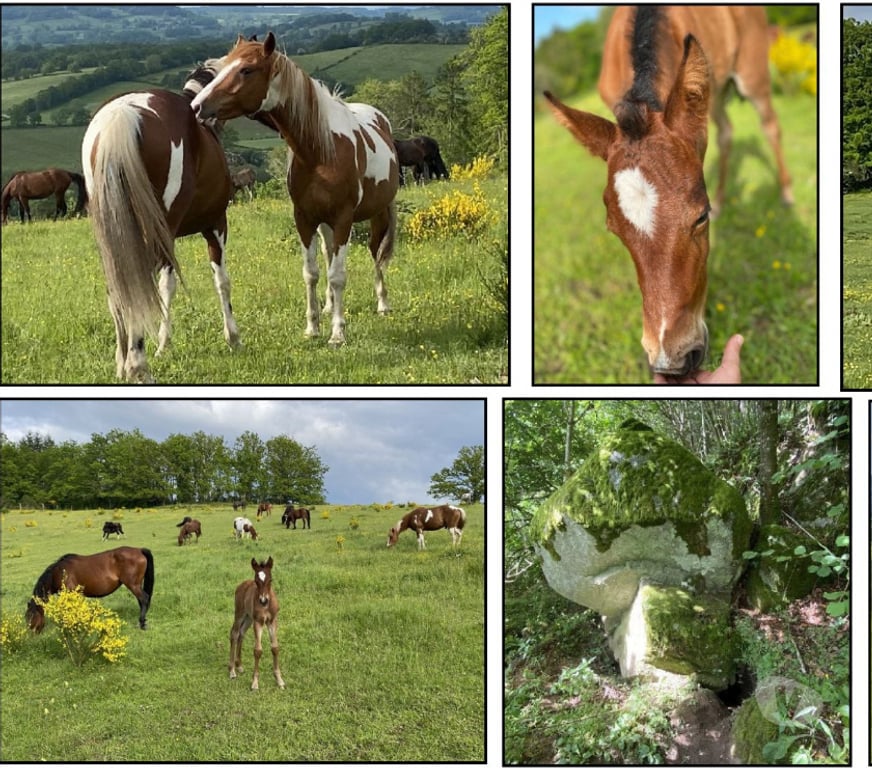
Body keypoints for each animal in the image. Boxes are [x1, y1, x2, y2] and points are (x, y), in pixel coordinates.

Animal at [25, 546, 154, 633]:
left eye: (30, 616)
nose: (31, 633)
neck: (59, 573)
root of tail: (139, 550)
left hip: (133, 585)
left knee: (144, 599)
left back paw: (142, 623)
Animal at [82, 60, 241, 383]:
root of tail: (123, 115)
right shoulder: (216, 225)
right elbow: (220, 280)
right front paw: (232, 337)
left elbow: (166, 286)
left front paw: (163, 344)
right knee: (138, 285)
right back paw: (138, 366)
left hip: (116, 236)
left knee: (119, 287)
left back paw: (123, 363)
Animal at [191, 32, 400, 347]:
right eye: (224, 65)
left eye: (246, 70)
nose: (197, 106)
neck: (320, 151)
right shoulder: (304, 218)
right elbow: (311, 272)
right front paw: (313, 327)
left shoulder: (344, 219)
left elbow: (338, 275)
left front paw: (338, 333)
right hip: (325, 223)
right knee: (328, 253)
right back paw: (329, 306)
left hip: (378, 214)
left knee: (377, 253)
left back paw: (383, 303)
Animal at [229, 557, 285, 691]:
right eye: (256, 580)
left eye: (270, 579)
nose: (263, 600)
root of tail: (242, 584)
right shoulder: (258, 622)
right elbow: (258, 651)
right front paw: (255, 683)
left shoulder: (272, 621)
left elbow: (275, 648)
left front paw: (279, 680)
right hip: (240, 613)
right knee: (234, 634)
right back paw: (232, 670)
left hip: (248, 618)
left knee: (241, 633)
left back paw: (239, 666)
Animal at [543, 6, 792, 377]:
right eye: (614, 231)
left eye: (700, 217)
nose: (671, 361)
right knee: (726, 131)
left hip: (751, 73)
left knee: (770, 125)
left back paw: (786, 193)